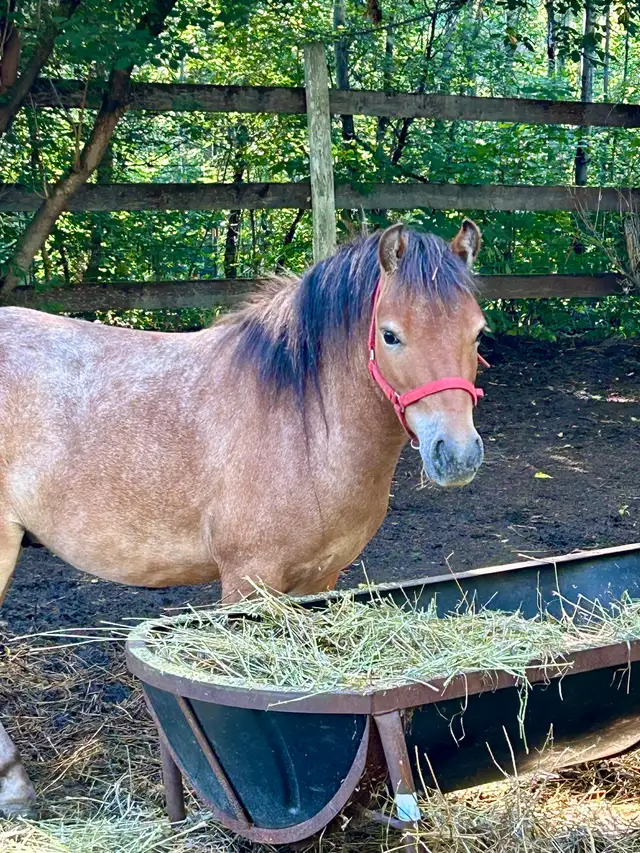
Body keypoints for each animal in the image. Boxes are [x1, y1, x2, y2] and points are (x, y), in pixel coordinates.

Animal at [0, 219, 487, 815]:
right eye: (391, 335)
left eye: (478, 334)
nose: (457, 454)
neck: (302, 421)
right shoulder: (247, 579)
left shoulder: (318, 579)